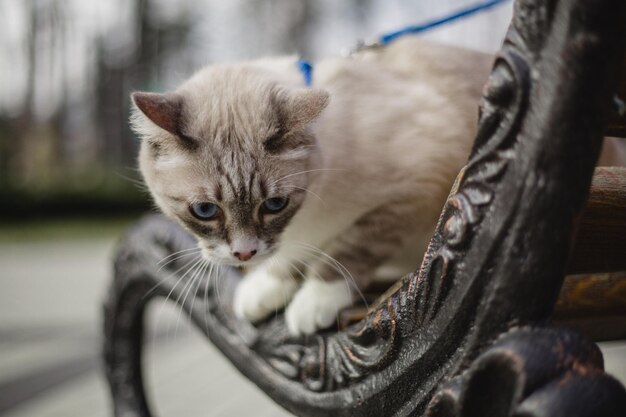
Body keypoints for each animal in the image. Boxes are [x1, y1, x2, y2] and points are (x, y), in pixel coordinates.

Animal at [130, 36, 492, 334]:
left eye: (274, 205)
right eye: (205, 210)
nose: (244, 254)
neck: (311, 211)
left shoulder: (417, 189)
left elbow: (349, 249)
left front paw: (314, 300)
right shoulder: (299, 234)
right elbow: (290, 255)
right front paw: (264, 289)